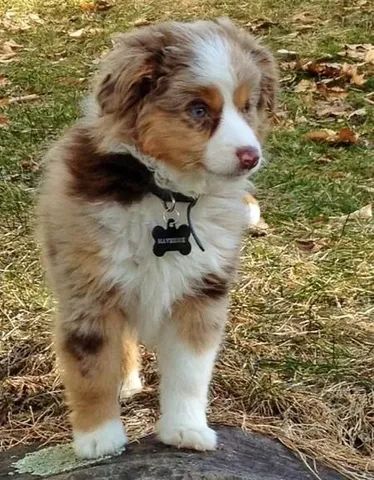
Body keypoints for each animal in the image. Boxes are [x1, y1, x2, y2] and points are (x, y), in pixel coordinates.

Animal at [38, 17, 278, 458]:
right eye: (198, 110)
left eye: (247, 105)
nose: (251, 156)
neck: (165, 192)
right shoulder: (88, 290)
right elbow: (91, 368)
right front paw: (99, 439)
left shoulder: (201, 294)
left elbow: (189, 373)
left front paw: (185, 430)